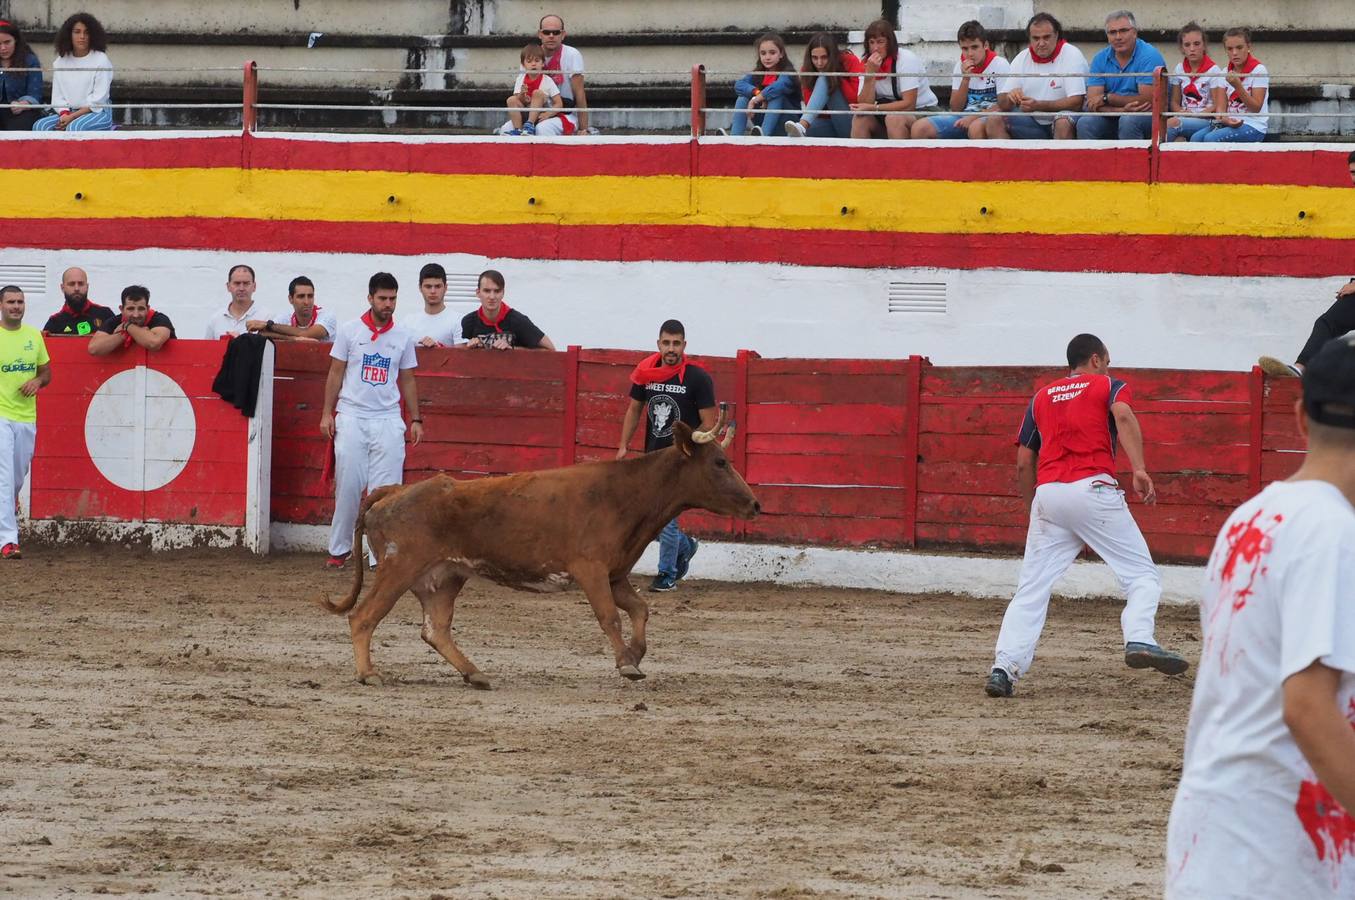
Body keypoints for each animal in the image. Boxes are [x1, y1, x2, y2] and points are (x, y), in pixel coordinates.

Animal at [319, 406, 764, 688]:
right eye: (720, 462)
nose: (755, 504)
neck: (628, 493)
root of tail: (393, 491)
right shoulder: (591, 570)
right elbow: (610, 617)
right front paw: (627, 665)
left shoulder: (615, 574)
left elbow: (640, 609)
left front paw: (636, 655)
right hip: (400, 566)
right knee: (364, 617)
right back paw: (370, 674)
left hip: (443, 577)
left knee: (436, 629)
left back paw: (476, 674)